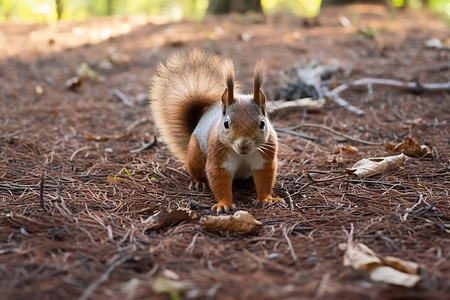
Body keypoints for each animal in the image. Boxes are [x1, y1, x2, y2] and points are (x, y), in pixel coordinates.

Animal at [149, 49, 280, 212]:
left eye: (262, 123)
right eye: (226, 124)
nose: (243, 144)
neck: (242, 155)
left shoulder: (265, 158)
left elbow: (265, 178)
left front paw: (265, 199)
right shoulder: (218, 158)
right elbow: (219, 179)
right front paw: (224, 204)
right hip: (195, 154)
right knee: (196, 171)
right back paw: (198, 182)